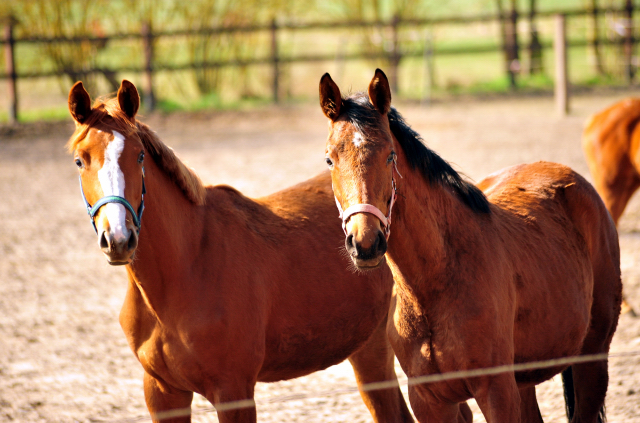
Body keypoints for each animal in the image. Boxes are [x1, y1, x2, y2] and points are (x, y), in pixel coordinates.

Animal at [66, 80, 416, 423]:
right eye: (79, 161)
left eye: (139, 157)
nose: (118, 238)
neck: (186, 268)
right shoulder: (163, 392)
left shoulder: (233, 391)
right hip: (366, 349)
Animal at [318, 69, 620, 423]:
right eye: (329, 160)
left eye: (389, 155)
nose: (365, 242)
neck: (436, 285)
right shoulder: (430, 400)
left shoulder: (496, 393)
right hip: (525, 379)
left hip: (592, 357)